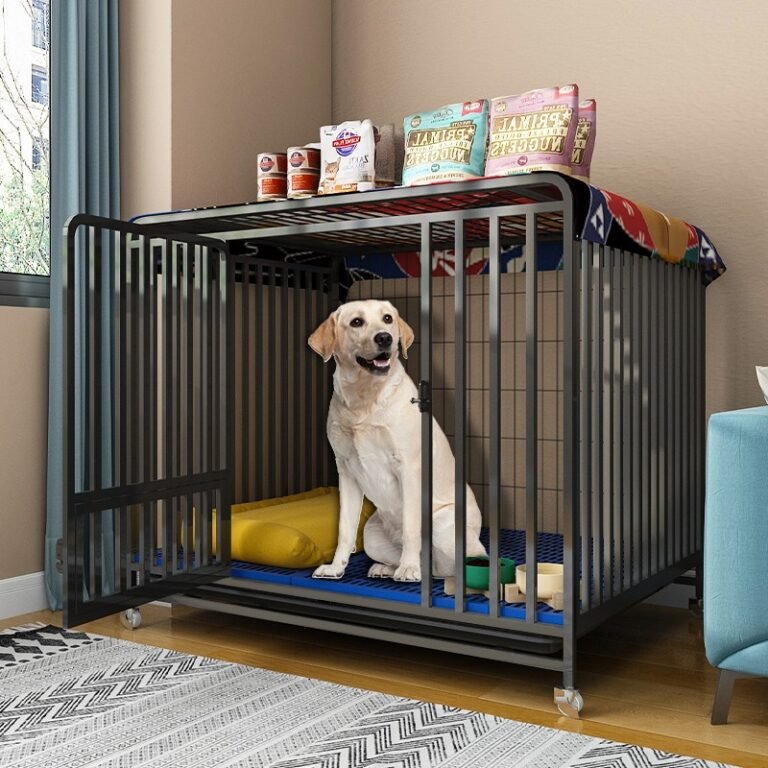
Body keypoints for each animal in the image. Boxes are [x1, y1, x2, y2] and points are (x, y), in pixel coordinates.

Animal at [308, 296, 484, 580]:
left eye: (387, 318)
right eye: (356, 322)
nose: (384, 338)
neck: (364, 397)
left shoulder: (408, 467)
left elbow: (412, 527)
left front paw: (409, 568)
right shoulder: (346, 470)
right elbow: (345, 530)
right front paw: (336, 567)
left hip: (443, 524)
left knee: (458, 561)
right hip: (371, 532)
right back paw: (385, 568)